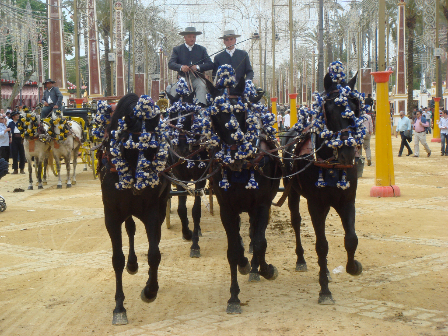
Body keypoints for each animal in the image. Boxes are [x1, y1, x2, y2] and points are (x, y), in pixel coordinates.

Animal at [95, 93, 171, 324]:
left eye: (154, 150)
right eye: (126, 148)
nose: (139, 188)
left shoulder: (153, 211)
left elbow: (154, 253)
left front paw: (150, 290)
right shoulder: (111, 215)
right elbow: (117, 259)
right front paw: (119, 307)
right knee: (130, 228)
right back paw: (132, 263)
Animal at [282, 61, 366, 304]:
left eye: (355, 108)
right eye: (329, 110)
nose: (348, 152)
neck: (332, 164)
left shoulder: (346, 200)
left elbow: (351, 239)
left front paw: (353, 266)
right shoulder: (316, 204)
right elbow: (321, 245)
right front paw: (325, 290)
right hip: (292, 191)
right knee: (296, 221)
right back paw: (301, 259)